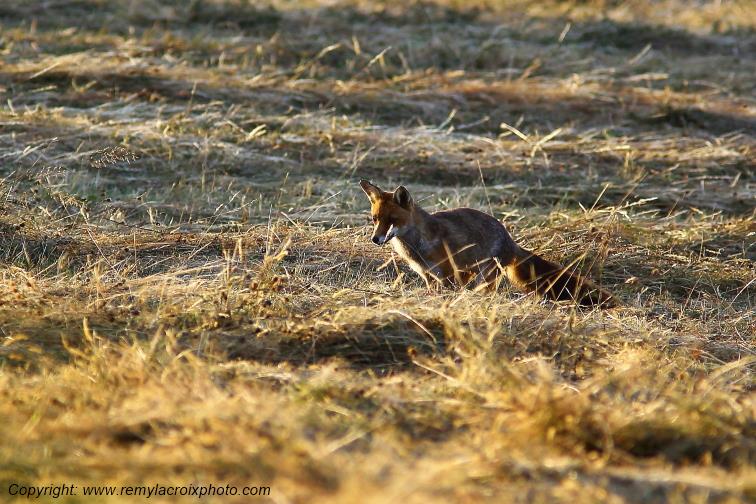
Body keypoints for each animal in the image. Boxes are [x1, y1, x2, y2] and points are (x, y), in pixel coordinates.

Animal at [360, 180, 615, 307]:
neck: (417, 246)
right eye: (375, 219)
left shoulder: (448, 275)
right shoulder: (429, 276)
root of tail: (510, 239)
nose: (375, 239)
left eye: (393, 220)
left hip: (484, 276)